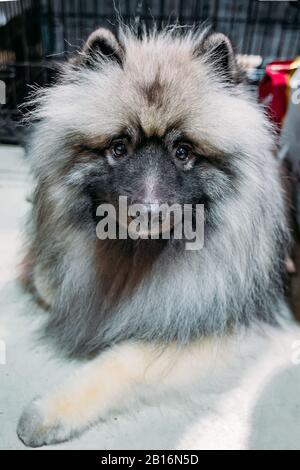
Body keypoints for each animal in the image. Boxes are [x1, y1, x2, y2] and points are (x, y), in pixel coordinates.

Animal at [17, 26, 290, 448]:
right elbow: (47, 279)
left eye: (183, 151)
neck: (137, 252)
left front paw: (49, 412)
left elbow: (123, 363)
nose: (148, 212)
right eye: (118, 147)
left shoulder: (210, 327)